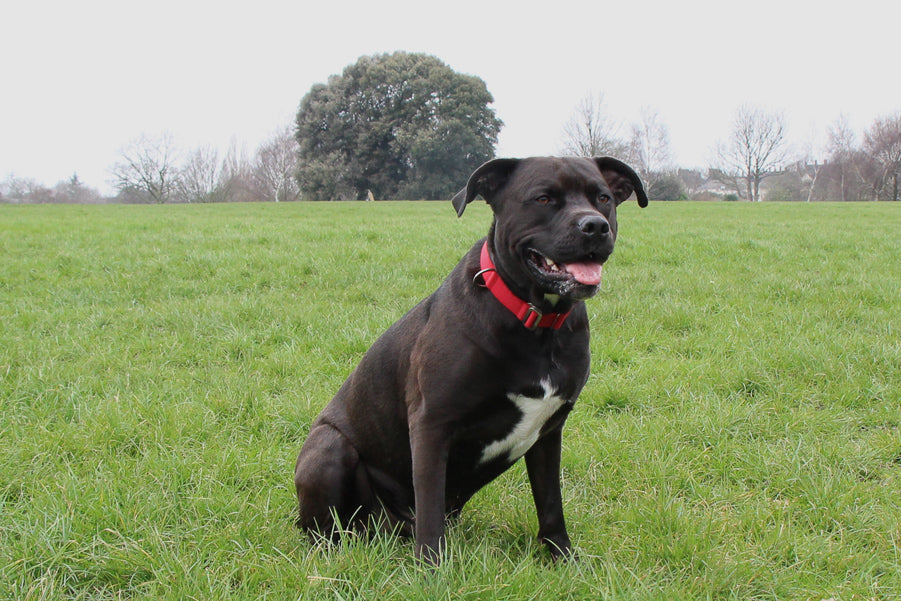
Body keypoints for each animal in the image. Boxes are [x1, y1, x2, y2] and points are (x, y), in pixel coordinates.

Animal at [296, 156, 648, 564]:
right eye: (543, 198)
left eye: (603, 197)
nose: (594, 225)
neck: (536, 321)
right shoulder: (431, 425)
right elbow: (430, 510)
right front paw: (430, 569)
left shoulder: (549, 432)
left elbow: (550, 503)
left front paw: (563, 559)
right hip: (328, 447)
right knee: (327, 529)